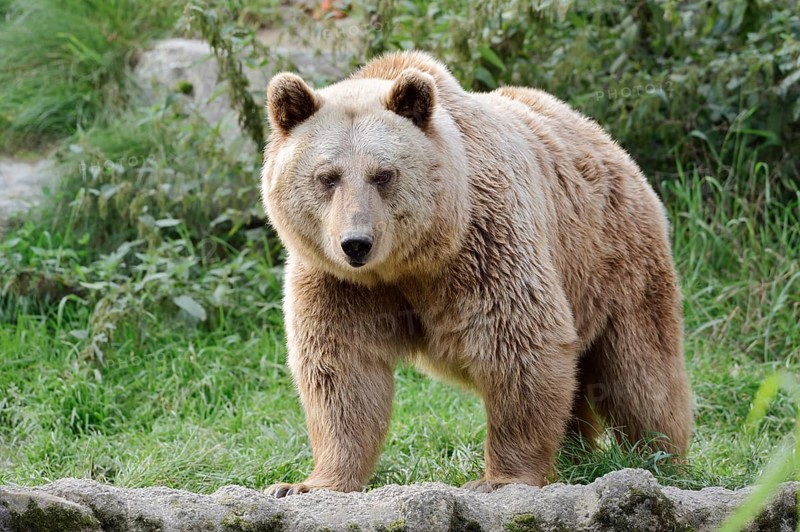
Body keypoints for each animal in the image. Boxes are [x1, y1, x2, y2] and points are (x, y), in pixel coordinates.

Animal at [260, 51, 693, 497]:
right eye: (327, 177)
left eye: (383, 174)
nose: (356, 243)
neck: (410, 262)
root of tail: (610, 143)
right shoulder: (337, 282)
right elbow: (342, 370)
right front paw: (306, 484)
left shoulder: (484, 247)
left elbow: (519, 345)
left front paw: (499, 478)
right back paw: (576, 457)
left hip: (612, 260)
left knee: (640, 374)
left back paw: (661, 460)